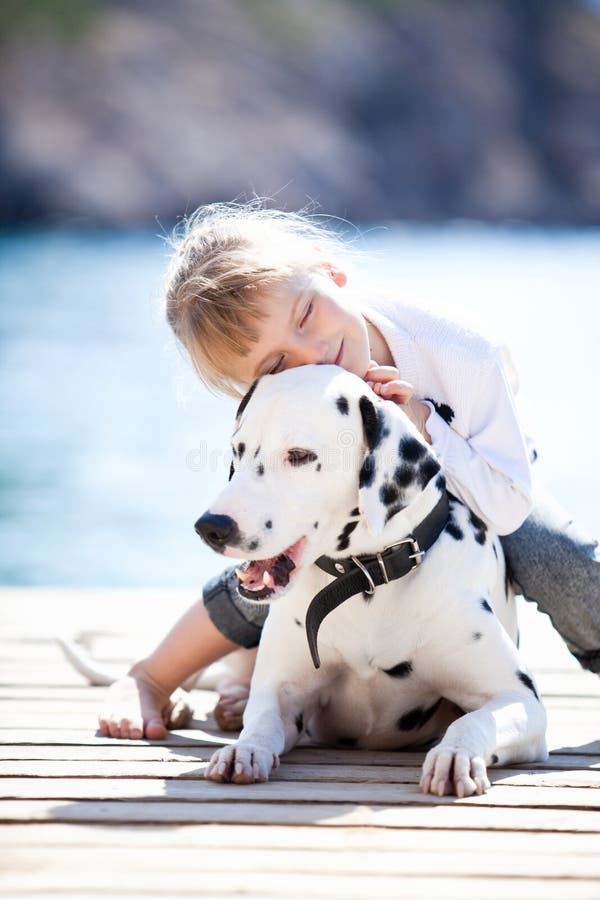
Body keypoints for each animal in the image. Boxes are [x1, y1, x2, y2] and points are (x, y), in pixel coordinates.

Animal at [195, 362, 548, 800]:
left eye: (299, 456)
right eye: (238, 450)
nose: (211, 526)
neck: (367, 578)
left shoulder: (519, 699)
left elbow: (473, 720)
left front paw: (456, 755)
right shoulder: (283, 693)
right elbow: (260, 721)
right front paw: (242, 750)